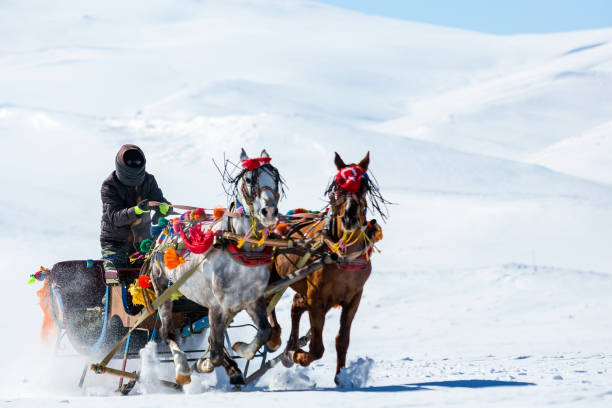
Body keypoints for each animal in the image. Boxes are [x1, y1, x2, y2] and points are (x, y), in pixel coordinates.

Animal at [149, 149, 280, 386]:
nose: (270, 211)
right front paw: (203, 365)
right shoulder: (218, 304)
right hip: (162, 289)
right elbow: (216, 352)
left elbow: (264, 331)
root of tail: (165, 230)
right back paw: (183, 368)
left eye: (275, 177)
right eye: (249, 179)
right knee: (167, 333)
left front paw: (243, 350)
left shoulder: (253, 299)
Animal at [268, 151, 382, 384]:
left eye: (364, 186)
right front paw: (298, 356)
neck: (343, 255)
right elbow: (317, 347)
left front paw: (341, 377)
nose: (349, 217)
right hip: (274, 277)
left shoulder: (353, 298)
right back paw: (275, 337)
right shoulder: (317, 299)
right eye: (337, 187)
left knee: (296, 306)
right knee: (267, 303)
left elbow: (342, 340)